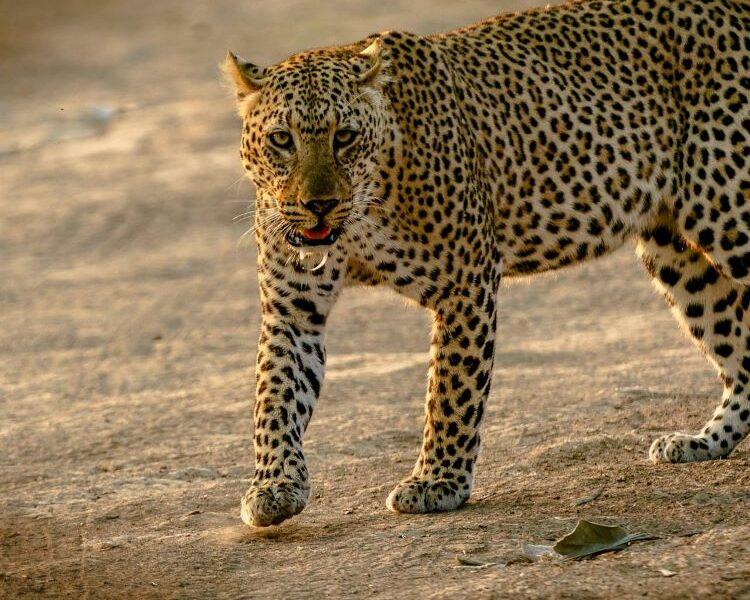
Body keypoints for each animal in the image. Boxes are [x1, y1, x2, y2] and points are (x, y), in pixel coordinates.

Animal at [222, 0, 750, 527]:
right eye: (281, 139)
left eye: (345, 137)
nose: (319, 205)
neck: (361, 216)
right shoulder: (292, 309)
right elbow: (275, 395)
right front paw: (273, 485)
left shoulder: (465, 282)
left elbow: (451, 390)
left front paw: (436, 481)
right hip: (674, 250)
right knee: (739, 349)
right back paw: (702, 441)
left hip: (729, 215)